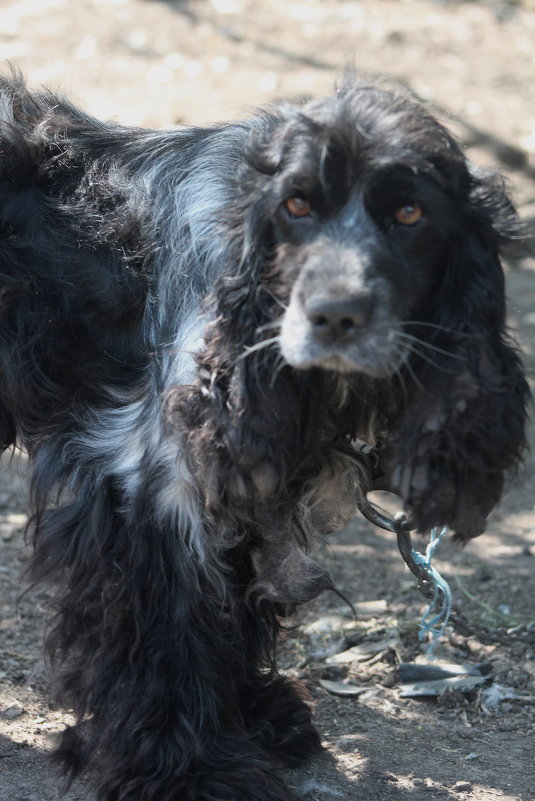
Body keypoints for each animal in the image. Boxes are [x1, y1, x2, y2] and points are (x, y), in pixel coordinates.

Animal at [0, 75, 528, 800]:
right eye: (296, 205)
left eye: (410, 213)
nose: (334, 315)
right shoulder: (153, 479)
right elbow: (167, 624)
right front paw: (187, 769)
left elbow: (232, 604)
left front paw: (254, 715)